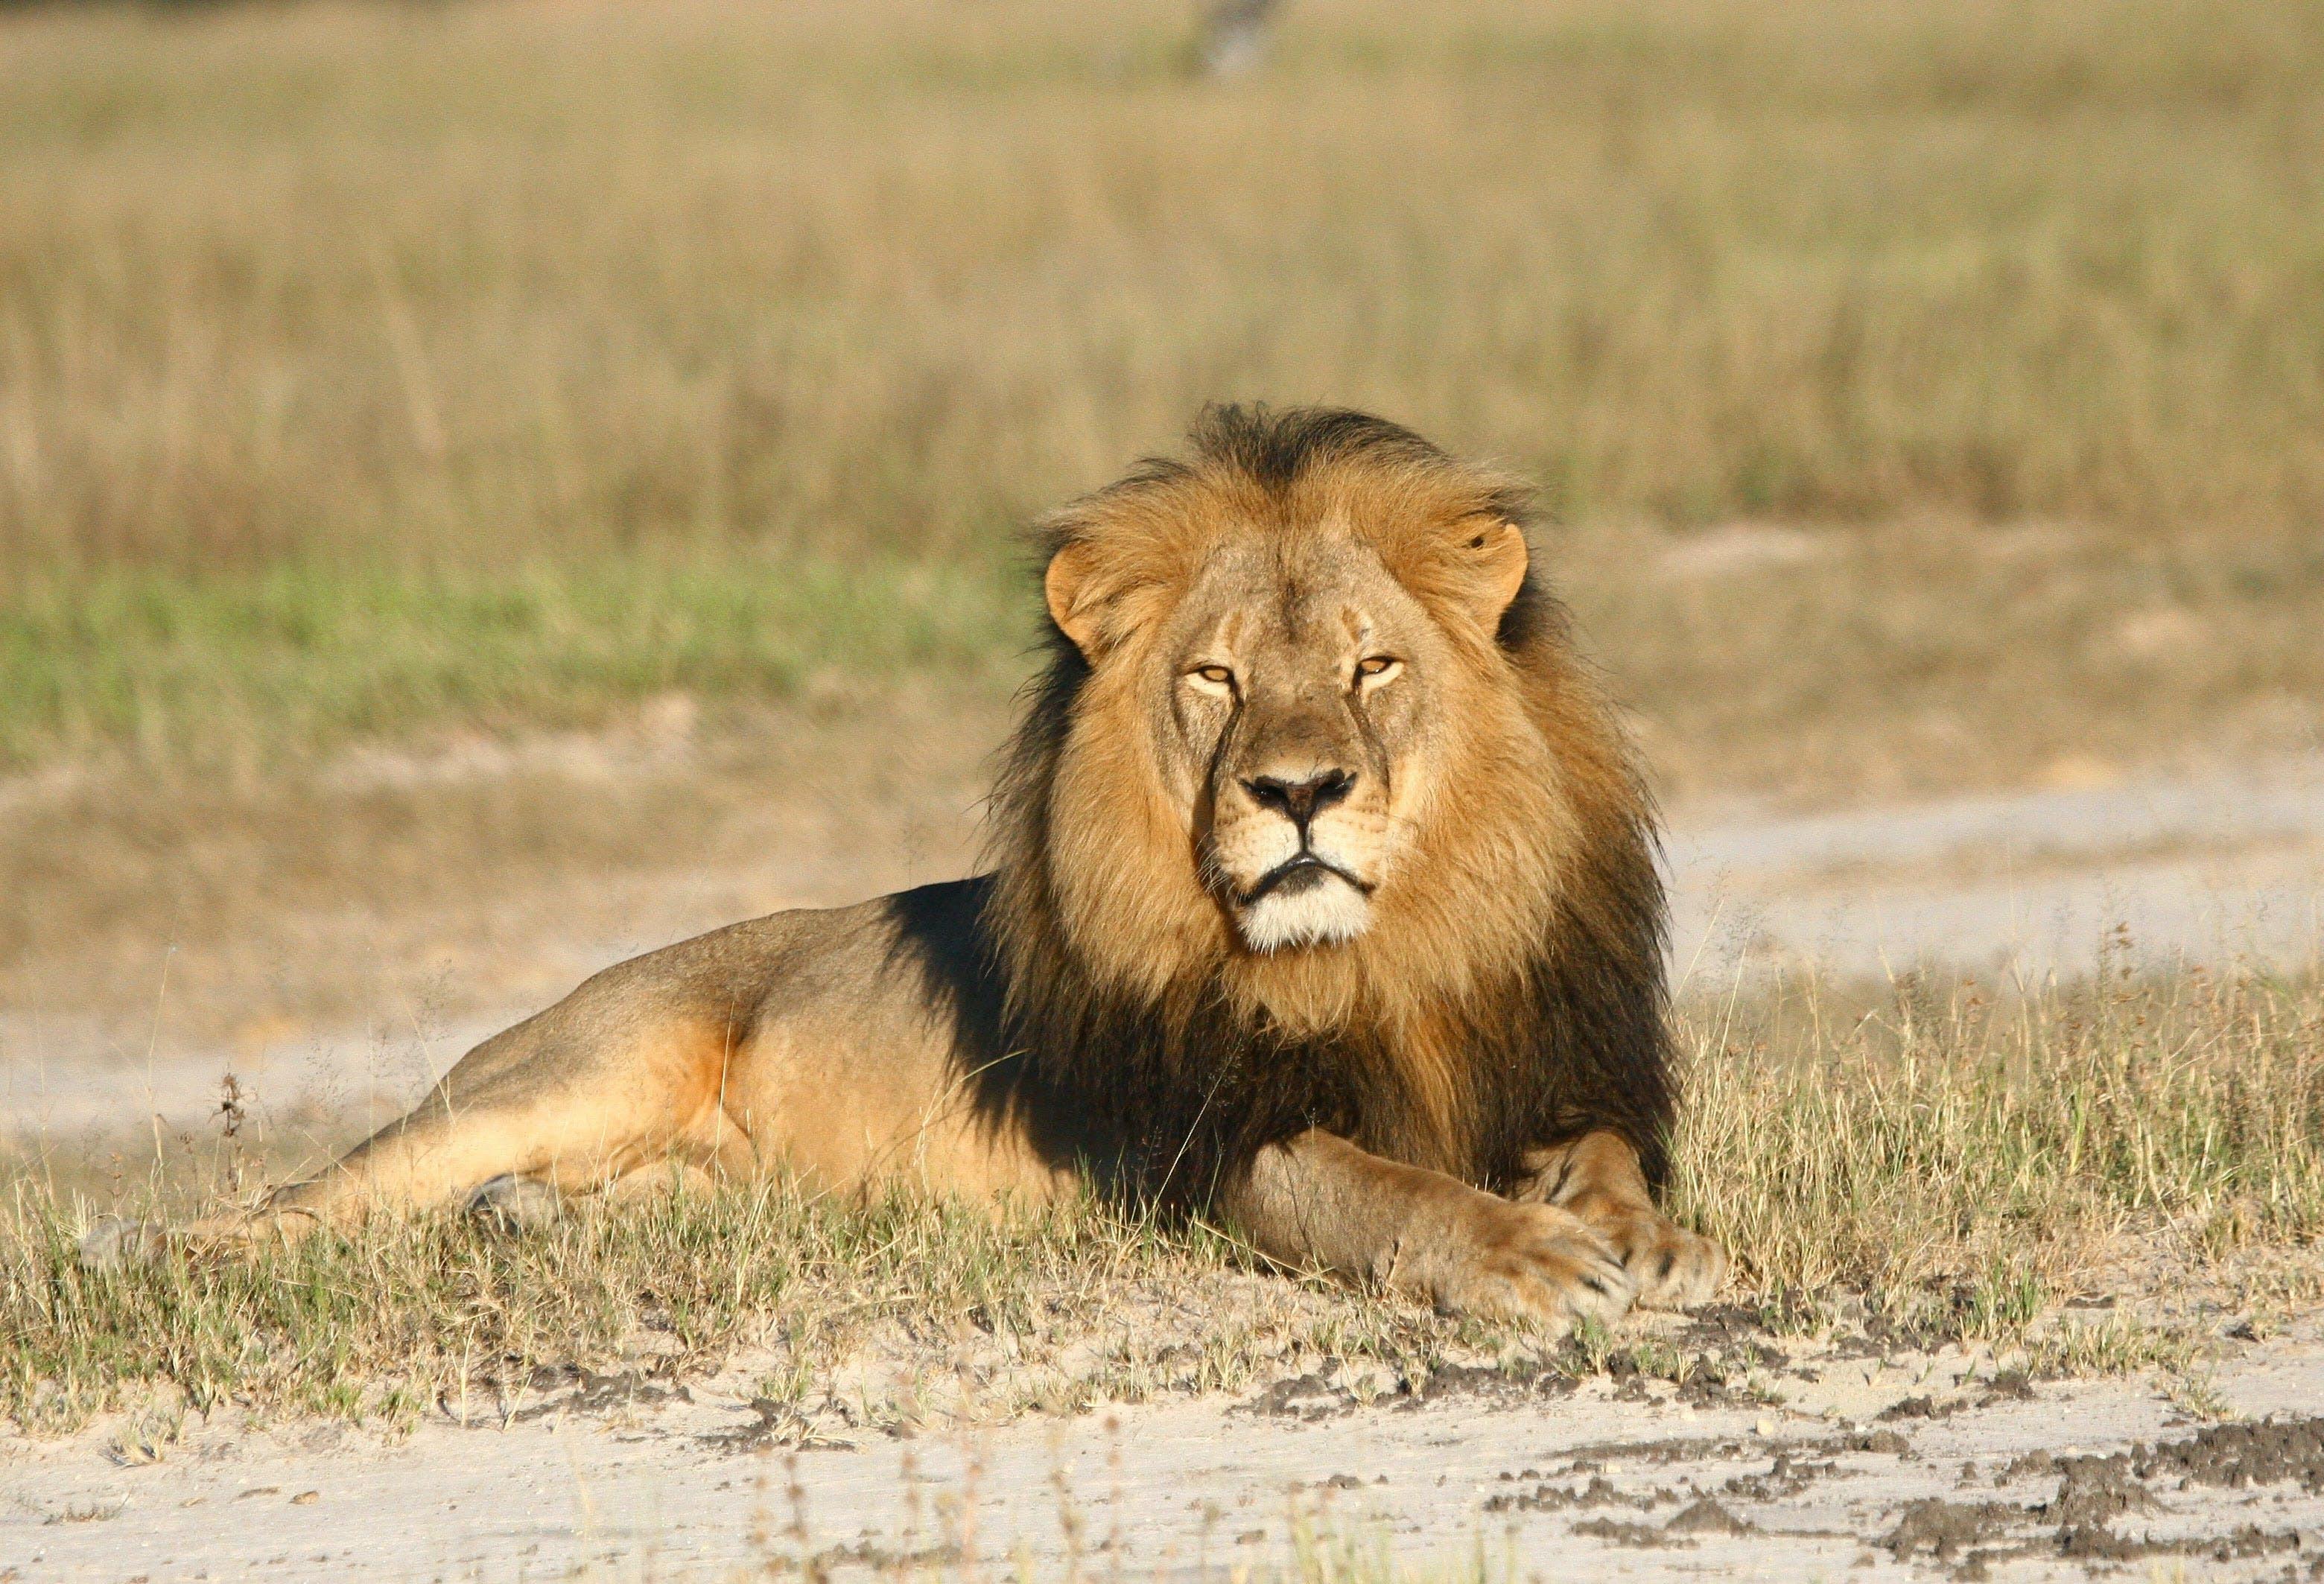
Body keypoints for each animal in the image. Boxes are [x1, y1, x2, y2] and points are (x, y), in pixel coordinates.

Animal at [86, 406, 1729, 1319]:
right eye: (1215, 680)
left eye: (1373, 665)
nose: (1301, 790)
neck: (1377, 959)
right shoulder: (1198, 1145)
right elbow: (1377, 1192)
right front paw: (1526, 1257)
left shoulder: (1550, 1065)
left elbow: (1608, 1156)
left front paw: (1648, 1240)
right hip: (571, 1069)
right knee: (316, 1196)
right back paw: (146, 1249)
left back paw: (528, 1219)